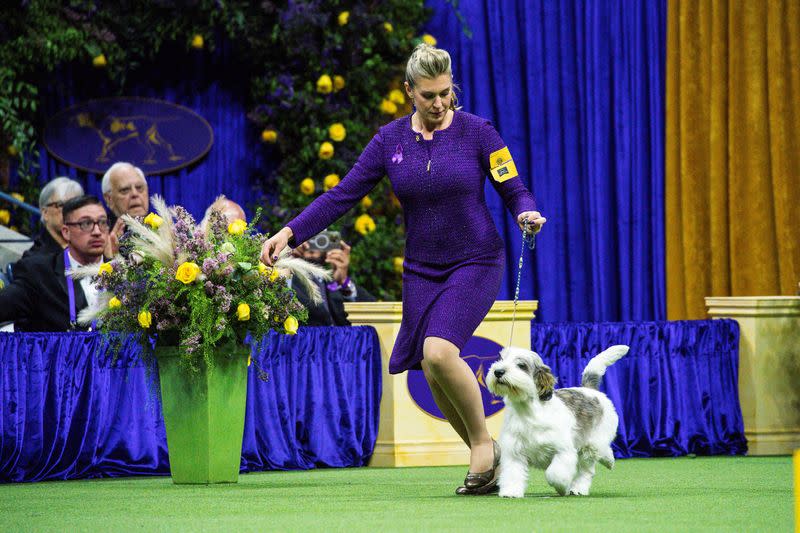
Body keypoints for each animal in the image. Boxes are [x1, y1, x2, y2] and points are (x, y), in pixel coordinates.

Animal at [484, 342, 628, 496]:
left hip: (591, 444)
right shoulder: (514, 452)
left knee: (590, 466)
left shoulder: (563, 452)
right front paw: (511, 492)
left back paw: (593, 475)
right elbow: (512, 473)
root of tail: (590, 390)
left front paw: (562, 488)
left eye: (521, 365)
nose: (498, 371)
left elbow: (555, 474)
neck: (528, 412)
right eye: (501, 359)